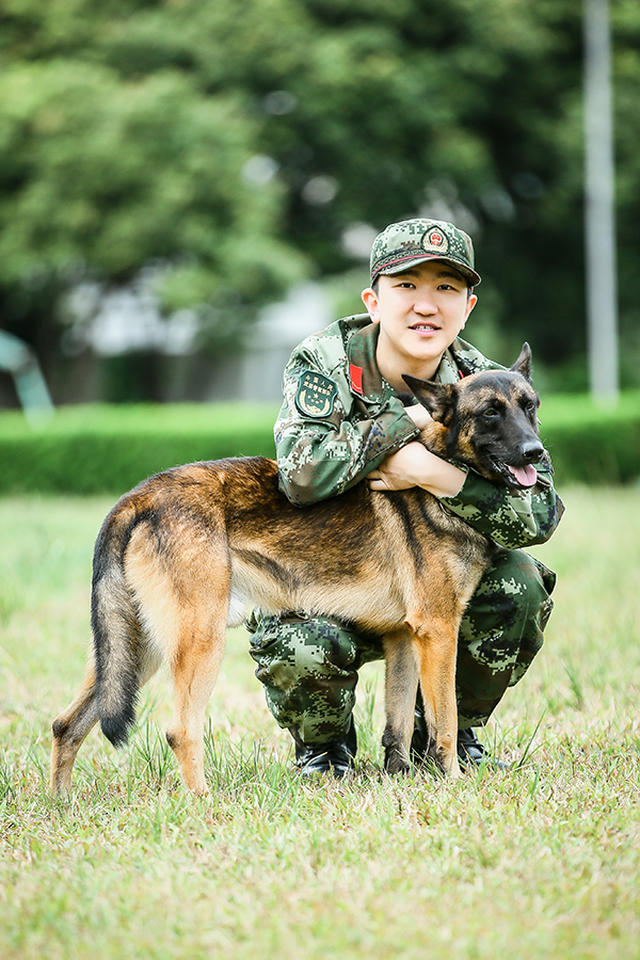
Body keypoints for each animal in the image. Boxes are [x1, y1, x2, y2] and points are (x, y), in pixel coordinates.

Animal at [51, 344, 544, 796]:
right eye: (490, 413)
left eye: (530, 406)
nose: (536, 452)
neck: (443, 471)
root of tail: (140, 497)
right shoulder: (439, 633)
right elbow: (445, 720)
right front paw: (452, 781)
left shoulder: (405, 640)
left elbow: (399, 725)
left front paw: (400, 778)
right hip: (198, 643)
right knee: (179, 731)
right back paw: (204, 804)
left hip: (139, 652)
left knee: (66, 724)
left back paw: (61, 804)